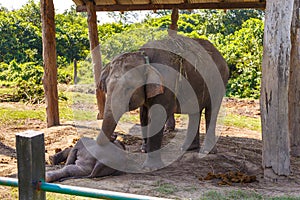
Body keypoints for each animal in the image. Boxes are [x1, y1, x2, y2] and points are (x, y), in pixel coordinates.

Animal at [97, 35, 229, 169]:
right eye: (106, 87)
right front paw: (144, 150)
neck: (144, 56)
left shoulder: (166, 85)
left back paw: (207, 151)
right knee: (195, 112)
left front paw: (150, 167)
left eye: (129, 88)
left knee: (211, 112)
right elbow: (143, 115)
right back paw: (187, 149)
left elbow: (158, 116)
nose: (114, 136)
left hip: (218, 82)